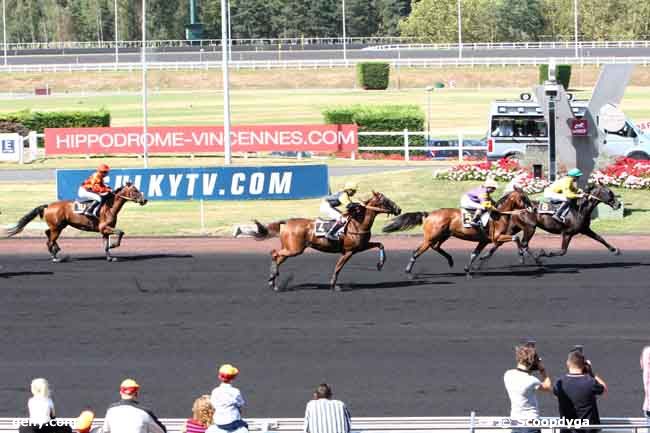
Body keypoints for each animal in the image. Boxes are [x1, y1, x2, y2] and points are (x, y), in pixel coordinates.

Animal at [7, 182, 147, 260]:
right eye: (135, 190)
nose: (144, 200)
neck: (109, 206)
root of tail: (48, 206)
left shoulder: (104, 231)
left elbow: (106, 244)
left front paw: (110, 257)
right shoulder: (104, 227)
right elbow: (121, 232)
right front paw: (113, 245)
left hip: (58, 226)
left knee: (48, 234)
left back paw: (56, 249)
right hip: (57, 227)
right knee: (50, 240)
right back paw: (55, 257)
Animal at [238, 192, 400, 290]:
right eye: (385, 200)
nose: (398, 209)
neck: (357, 223)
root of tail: (287, 222)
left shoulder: (360, 247)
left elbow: (380, 245)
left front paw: (380, 264)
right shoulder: (349, 251)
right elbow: (338, 267)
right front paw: (334, 285)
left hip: (290, 249)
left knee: (277, 257)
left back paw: (273, 282)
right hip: (294, 249)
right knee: (274, 253)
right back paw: (273, 277)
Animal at [380, 189, 532, 276]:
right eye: (524, 198)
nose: (532, 209)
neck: (498, 214)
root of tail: (428, 214)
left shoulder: (484, 240)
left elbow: (474, 254)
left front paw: (467, 269)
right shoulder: (497, 237)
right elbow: (516, 238)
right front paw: (521, 256)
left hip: (444, 235)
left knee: (436, 247)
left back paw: (450, 260)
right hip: (431, 237)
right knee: (417, 251)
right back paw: (408, 270)